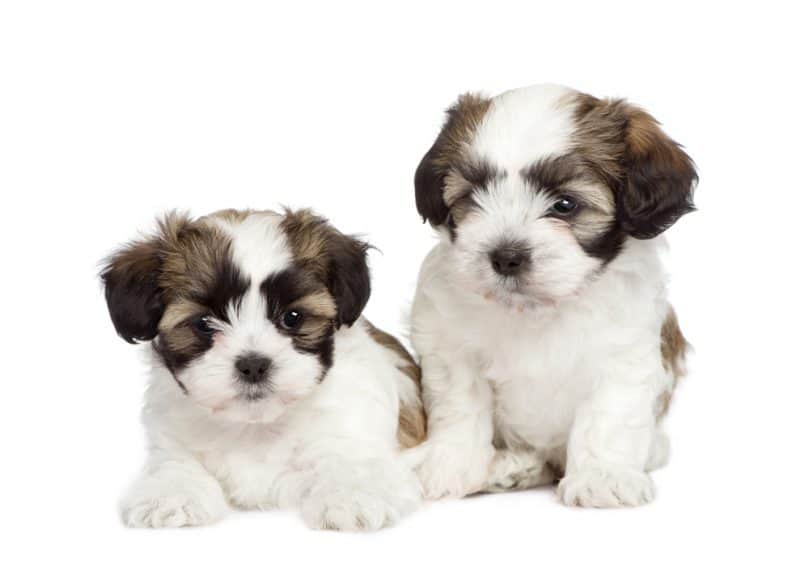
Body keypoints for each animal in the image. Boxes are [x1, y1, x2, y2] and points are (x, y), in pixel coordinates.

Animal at [101, 207, 422, 528]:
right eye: (203, 323)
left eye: (293, 317)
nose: (253, 365)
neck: (256, 427)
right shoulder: (171, 440)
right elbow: (176, 463)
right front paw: (172, 494)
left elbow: (350, 460)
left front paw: (352, 495)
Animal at [410, 82, 696, 504]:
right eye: (473, 197)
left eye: (565, 204)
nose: (506, 257)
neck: (536, 309)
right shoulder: (449, 346)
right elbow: (460, 404)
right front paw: (450, 465)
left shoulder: (625, 353)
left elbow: (608, 415)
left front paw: (602, 476)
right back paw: (512, 465)